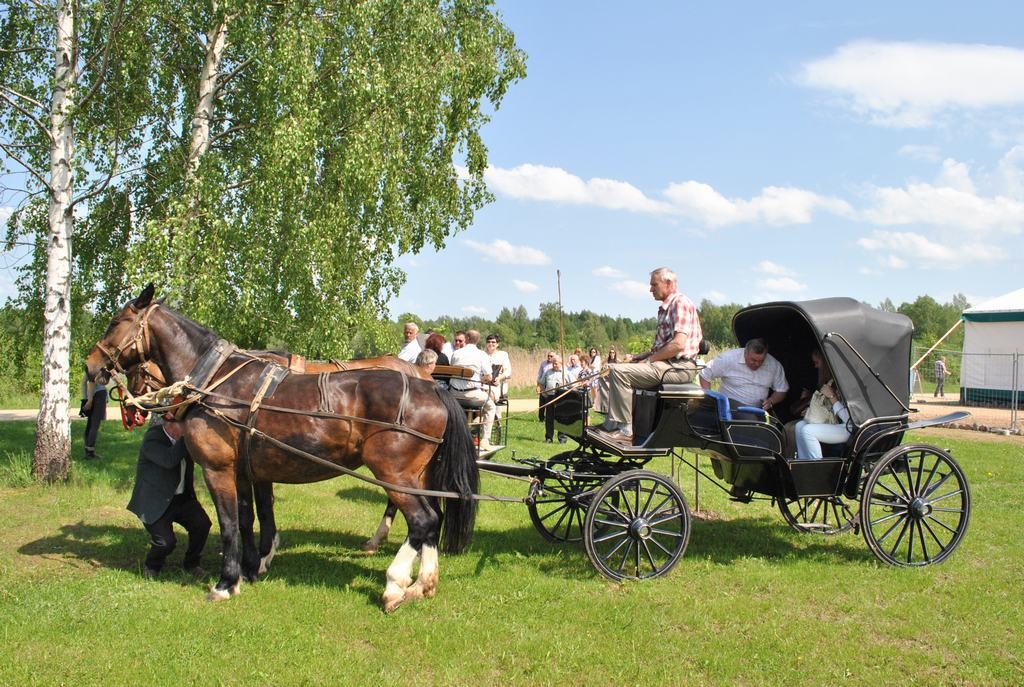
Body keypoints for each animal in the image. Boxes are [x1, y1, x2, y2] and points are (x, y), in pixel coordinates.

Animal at [86, 284, 477, 614]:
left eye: (116, 321)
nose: (91, 365)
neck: (217, 383)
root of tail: (432, 387)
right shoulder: (245, 470)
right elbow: (249, 519)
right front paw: (249, 569)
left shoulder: (218, 469)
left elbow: (229, 524)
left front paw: (226, 582)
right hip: (417, 476)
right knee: (433, 519)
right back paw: (424, 584)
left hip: (393, 474)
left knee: (423, 520)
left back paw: (395, 586)